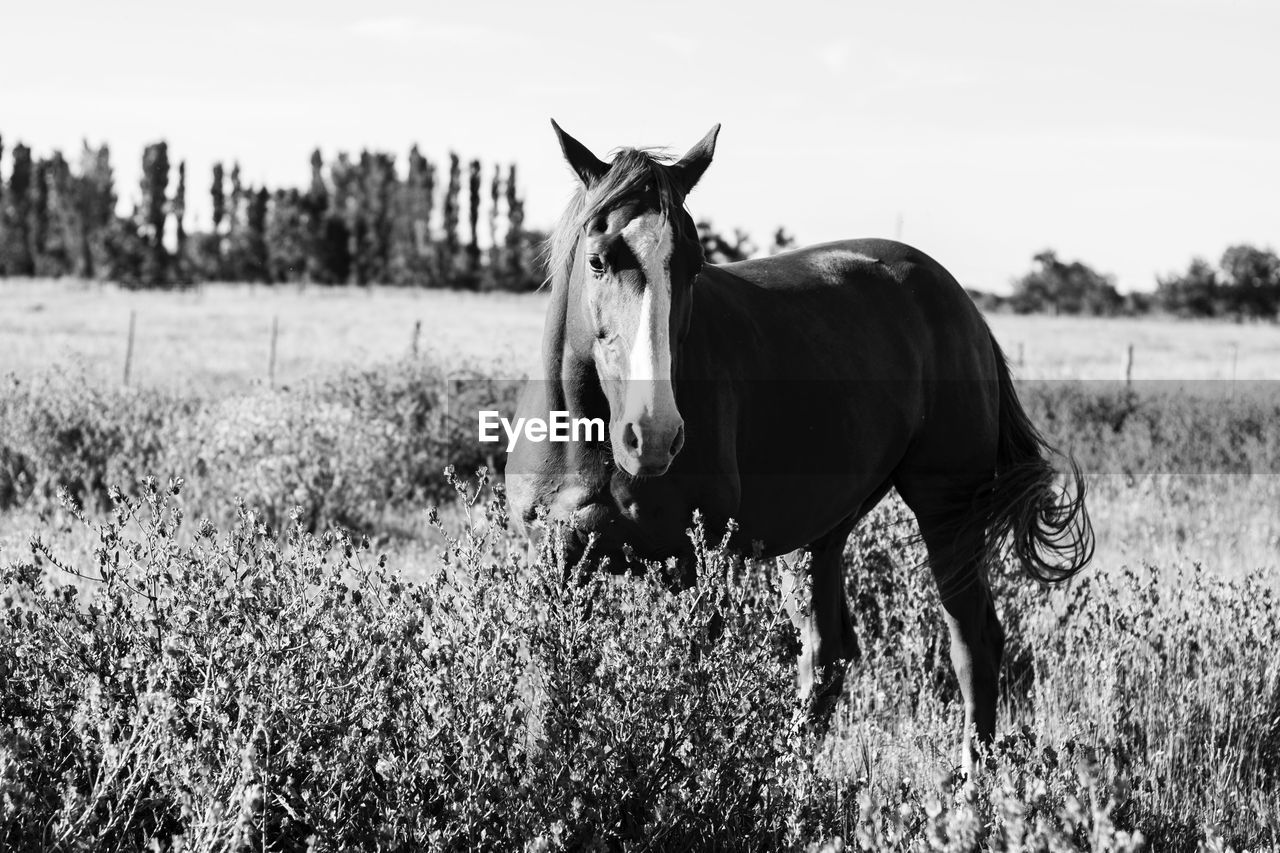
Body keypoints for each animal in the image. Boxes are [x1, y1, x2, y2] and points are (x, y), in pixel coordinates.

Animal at [504, 121, 1095, 768]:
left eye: (693, 266)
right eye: (598, 260)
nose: (654, 433)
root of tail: (961, 304)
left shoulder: (696, 564)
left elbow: (688, 693)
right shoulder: (554, 560)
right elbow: (546, 697)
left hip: (948, 512)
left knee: (972, 644)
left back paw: (970, 783)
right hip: (822, 532)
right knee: (827, 657)